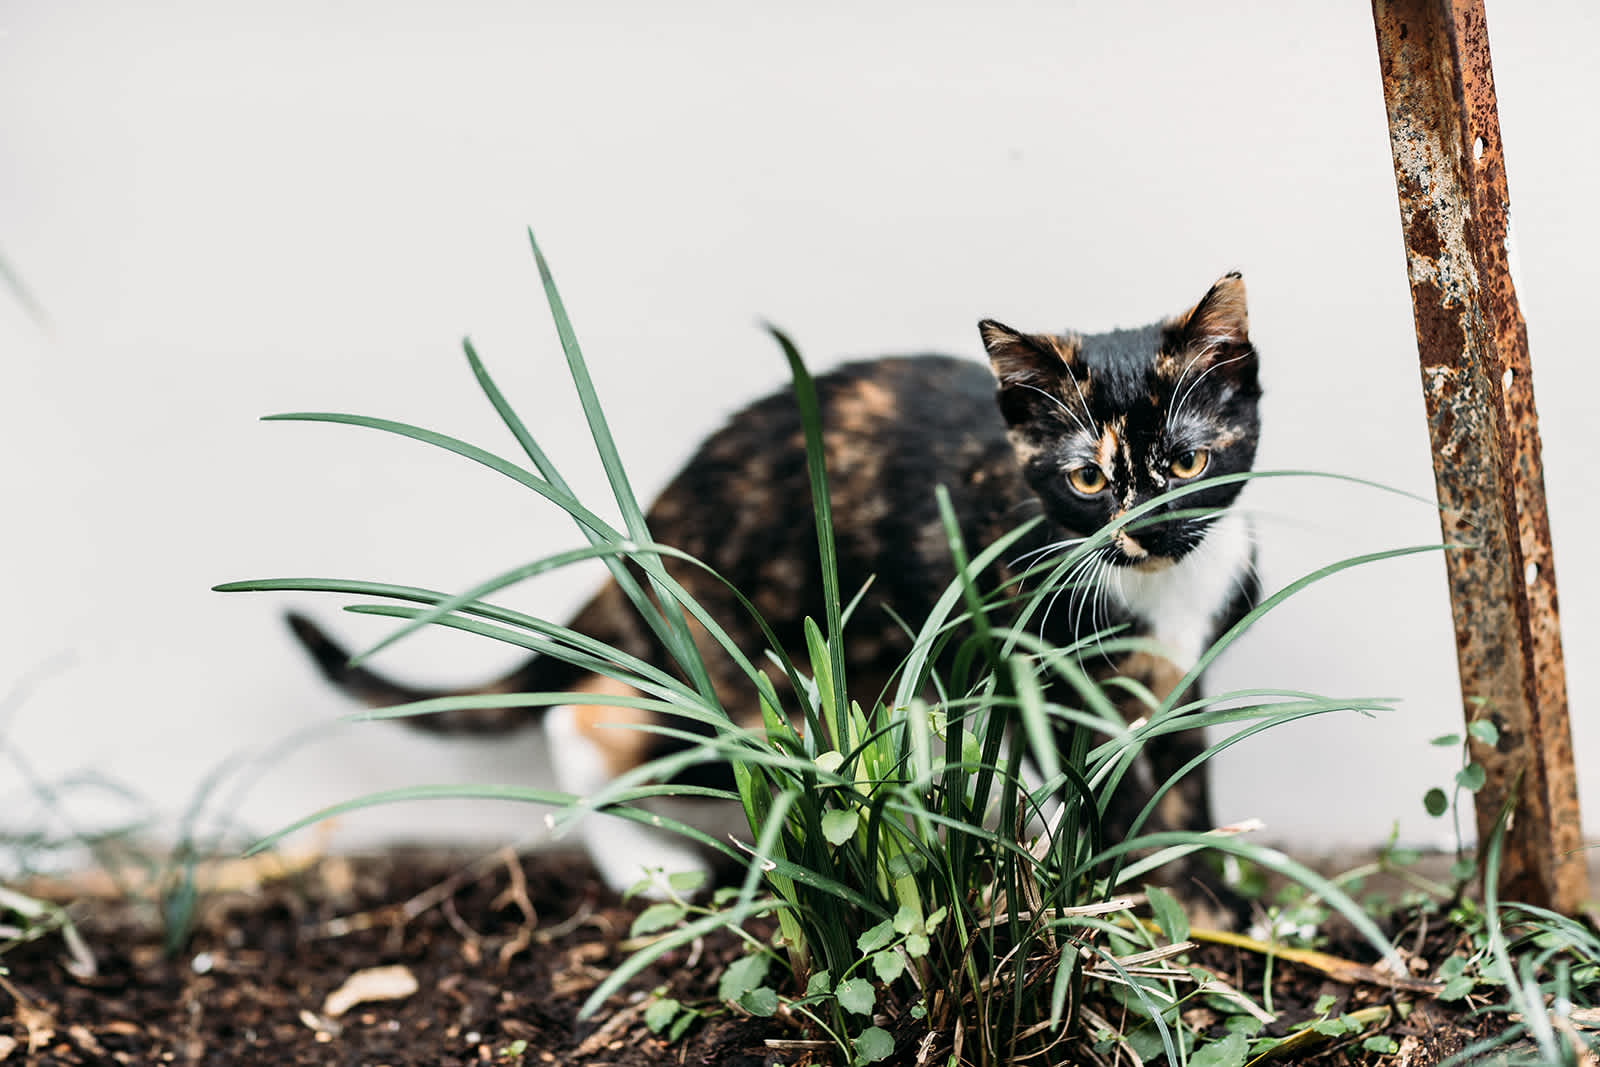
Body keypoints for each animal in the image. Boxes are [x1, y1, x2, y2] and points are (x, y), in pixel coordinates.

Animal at [288, 273, 1260, 908]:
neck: (1157, 586)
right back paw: (643, 867)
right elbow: (1096, 783)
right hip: (740, 694)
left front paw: (1210, 899)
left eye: (1187, 462)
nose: (1147, 529)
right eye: (1087, 481)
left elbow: (1186, 779)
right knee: (583, 719)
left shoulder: (1180, 671)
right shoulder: (1036, 664)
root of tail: (649, 535)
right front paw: (1112, 888)